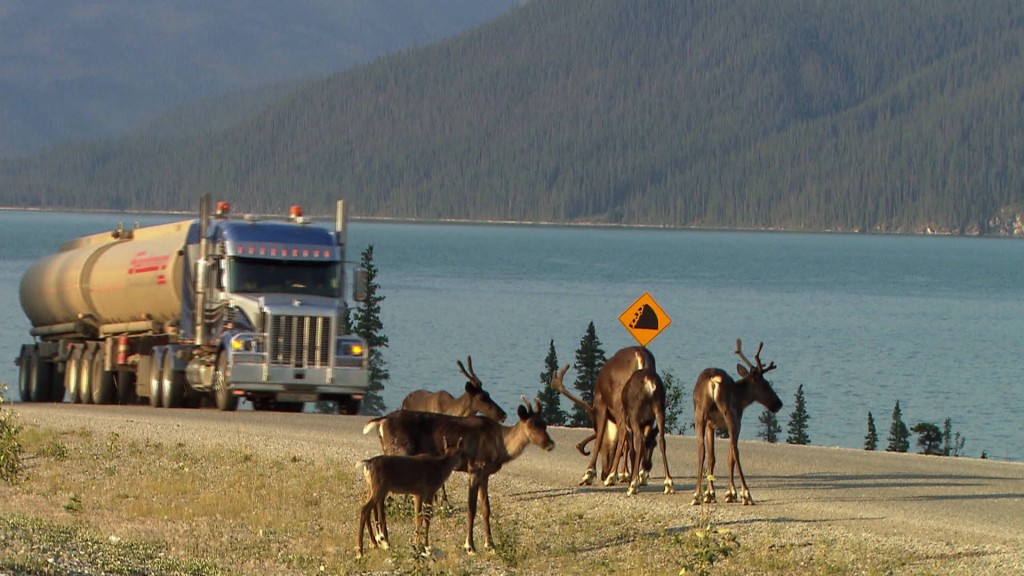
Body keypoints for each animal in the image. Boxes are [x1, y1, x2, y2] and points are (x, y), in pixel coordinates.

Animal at [692, 338, 778, 504]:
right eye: (766, 384)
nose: (778, 403)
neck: (741, 398)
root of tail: (713, 380)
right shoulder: (737, 421)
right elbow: (730, 456)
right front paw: (730, 493)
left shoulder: (711, 426)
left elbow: (712, 458)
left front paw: (710, 493)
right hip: (729, 415)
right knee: (735, 452)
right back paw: (747, 494)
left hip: (700, 415)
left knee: (701, 450)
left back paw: (696, 494)